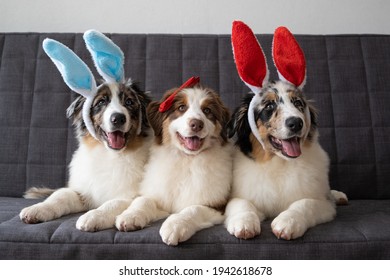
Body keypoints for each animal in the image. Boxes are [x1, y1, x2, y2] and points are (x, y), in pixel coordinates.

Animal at [114, 80, 233, 245]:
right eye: (181, 108)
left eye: (207, 110)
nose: (197, 124)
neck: (186, 160)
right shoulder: (160, 196)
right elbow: (143, 200)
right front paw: (130, 216)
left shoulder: (218, 204)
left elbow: (194, 208)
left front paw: (175, 226)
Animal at [222, 21, 348, 241]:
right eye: (269, 106)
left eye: (298, 103)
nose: (296, 123)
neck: (278, 164)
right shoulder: (239, 195)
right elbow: (242, 204)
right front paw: (244, 224)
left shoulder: (322, 203)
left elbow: (304, 203)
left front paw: (287, 223)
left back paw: (339, 195)